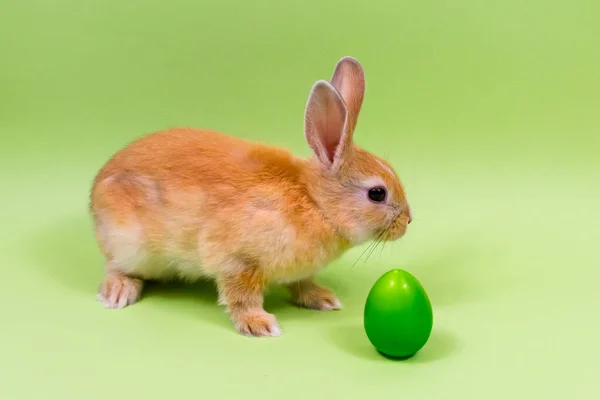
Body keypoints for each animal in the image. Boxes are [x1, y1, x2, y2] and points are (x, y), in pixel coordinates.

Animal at [90, 56, 412, 338]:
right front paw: (259, 325)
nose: (408, 221)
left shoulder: (296, 271)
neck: (315, 203)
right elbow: (241, 296)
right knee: (114, 267)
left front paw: (323, 299)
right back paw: (119, 292)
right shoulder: (238, 261)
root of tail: (96, 192)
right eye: (377, 193)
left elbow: (302, 283)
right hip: (130, 243)